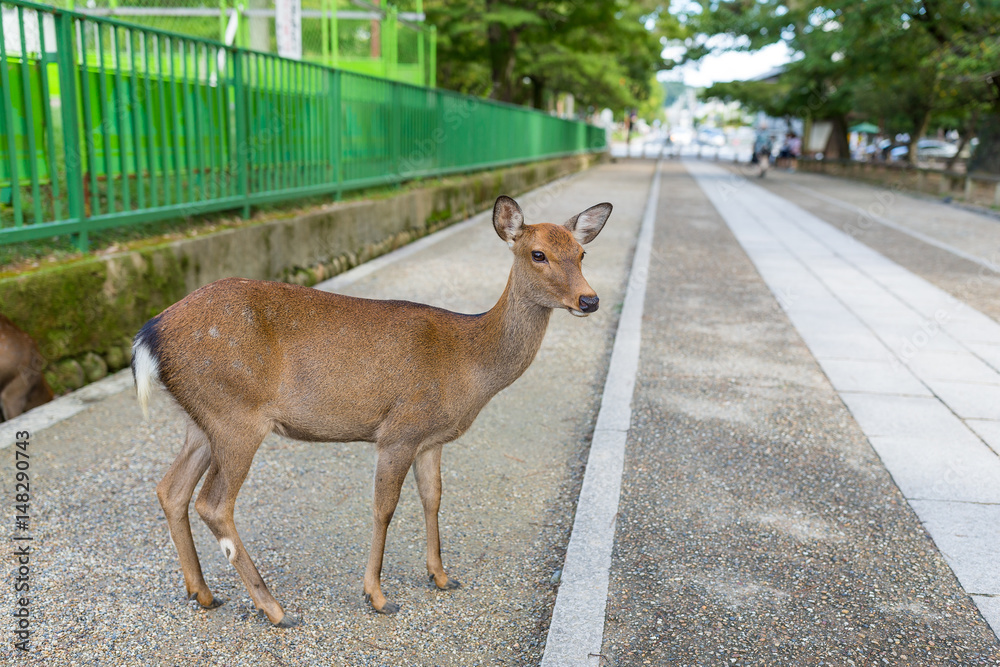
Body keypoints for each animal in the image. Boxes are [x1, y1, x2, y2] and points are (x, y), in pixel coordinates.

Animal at [132, 195, 612, 627]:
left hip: (201, 420)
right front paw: (378, 596)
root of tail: (148, 336)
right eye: (538, 254)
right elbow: (385, 508)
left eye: (582, 252)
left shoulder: (430, 438)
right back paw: (275, 609)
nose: (589, 300)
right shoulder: (399, 429)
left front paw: (441, 576)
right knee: (213, 503)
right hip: (236, 415)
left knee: (171, 488)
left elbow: (433, 497)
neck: (467, 364)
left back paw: (203, 593)